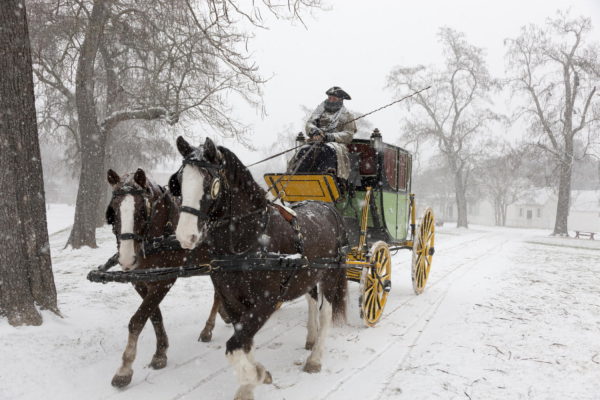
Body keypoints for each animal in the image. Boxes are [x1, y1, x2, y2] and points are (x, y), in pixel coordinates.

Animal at [104, 168, 229, 388]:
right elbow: (154, 315)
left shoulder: (165, 280)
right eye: (113, 211)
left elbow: (138, 319)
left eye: (142, 210)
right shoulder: (139, 281)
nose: (126, 259)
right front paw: (161, 351)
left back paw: (209, 328)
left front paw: (125, 369)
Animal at [171, 137, 350, 400]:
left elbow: (235, 346)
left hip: (330, 274)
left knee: (325, 312)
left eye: (209, 182)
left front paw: (252, 379)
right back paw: (310, 337)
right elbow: (243, 341)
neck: (248, 241)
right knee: (311, 300)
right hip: (308, 273)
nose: (185, 236)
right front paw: (256, 377)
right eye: (179, 181)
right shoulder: (232, 301)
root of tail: (329, 208)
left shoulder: (266, 301)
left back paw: (315, 358)